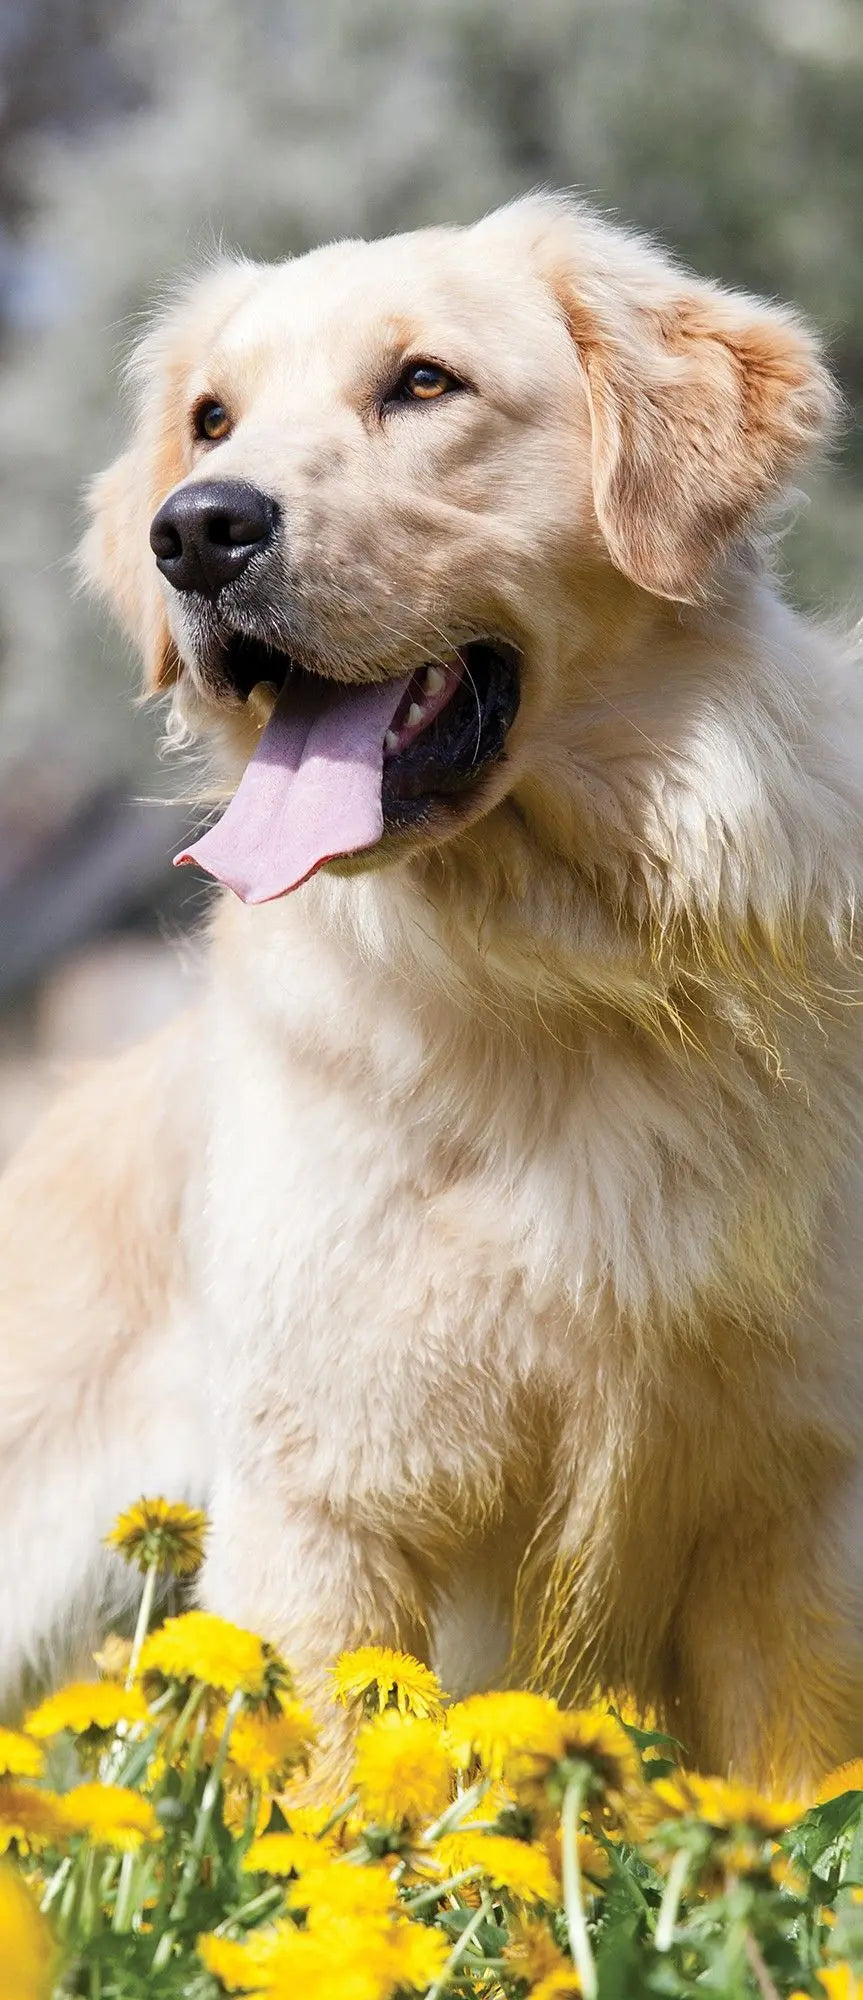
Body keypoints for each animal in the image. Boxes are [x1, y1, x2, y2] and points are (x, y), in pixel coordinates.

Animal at [1, 195, 863, 1792]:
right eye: (211, 418)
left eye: (422, 384)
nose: (194, 528)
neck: (553, 962)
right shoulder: (326, 1503)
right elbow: (336, 1804)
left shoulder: (790, 1500)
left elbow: (791, 1803)